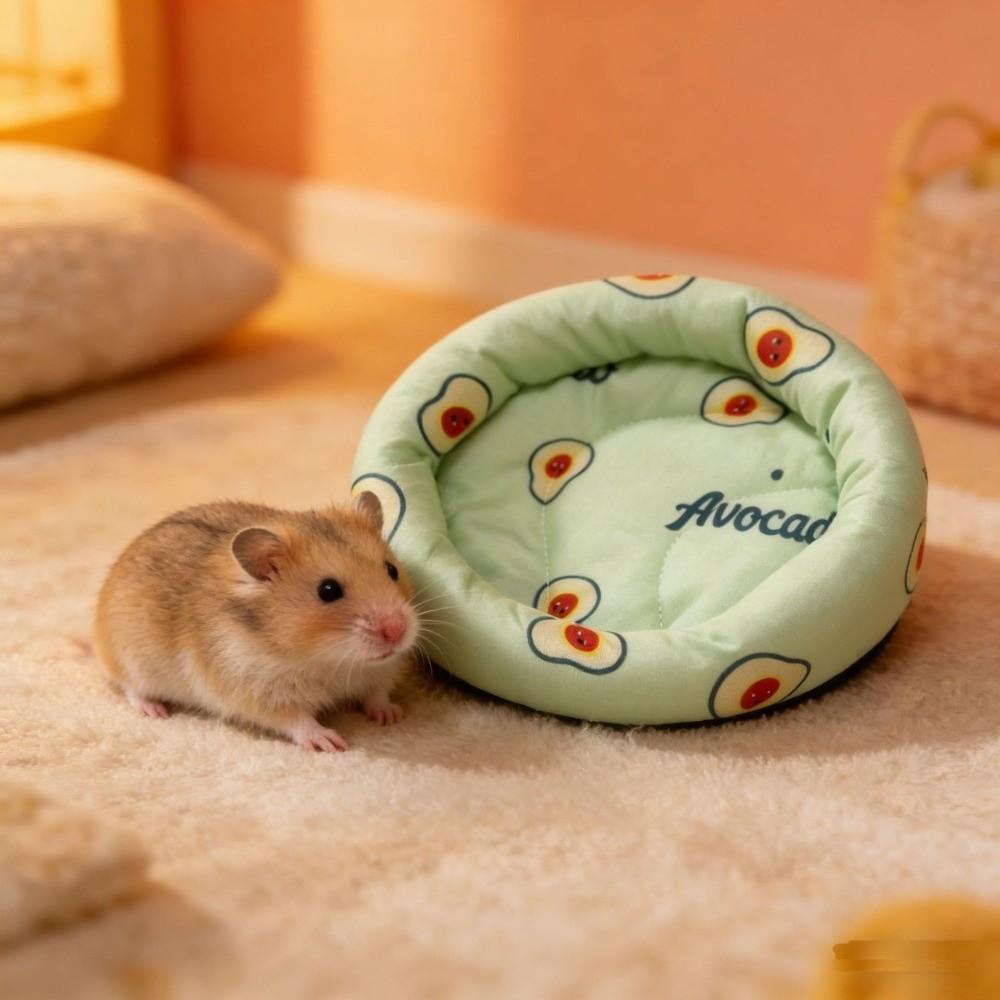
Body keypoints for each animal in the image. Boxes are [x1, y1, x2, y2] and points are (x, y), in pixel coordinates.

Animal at [94, 492, 420, 752]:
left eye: (392, 570)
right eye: (328, 590)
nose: (397, 630)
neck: (328, 659)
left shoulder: (380, 673)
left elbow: (376, 695)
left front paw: (393, 716)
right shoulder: (257, 691)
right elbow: (297, 719)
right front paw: (331, 742)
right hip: (132, 662)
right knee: (130, 688)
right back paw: (155, 710)